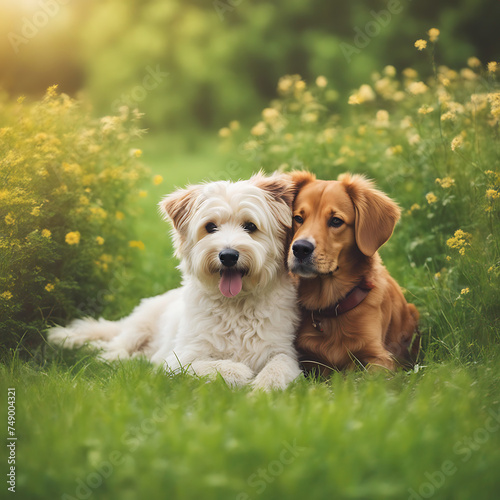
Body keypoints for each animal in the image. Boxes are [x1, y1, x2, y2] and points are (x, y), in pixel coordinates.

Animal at [48, 174, 302, 388]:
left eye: (250, 226)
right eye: (210, 227)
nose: (228, 256)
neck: (236, 307)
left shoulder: (283, 351)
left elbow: (278, 367)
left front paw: (263, 389)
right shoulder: (179, 358)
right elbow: (216, 366)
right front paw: (241, 372)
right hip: (138, 328)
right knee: (111, 348)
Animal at [288, 170, 420, 374]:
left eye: (336, 221)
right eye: (298, 218)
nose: (300, 248)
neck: (331, 307)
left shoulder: (379, 358)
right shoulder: (307, 360)